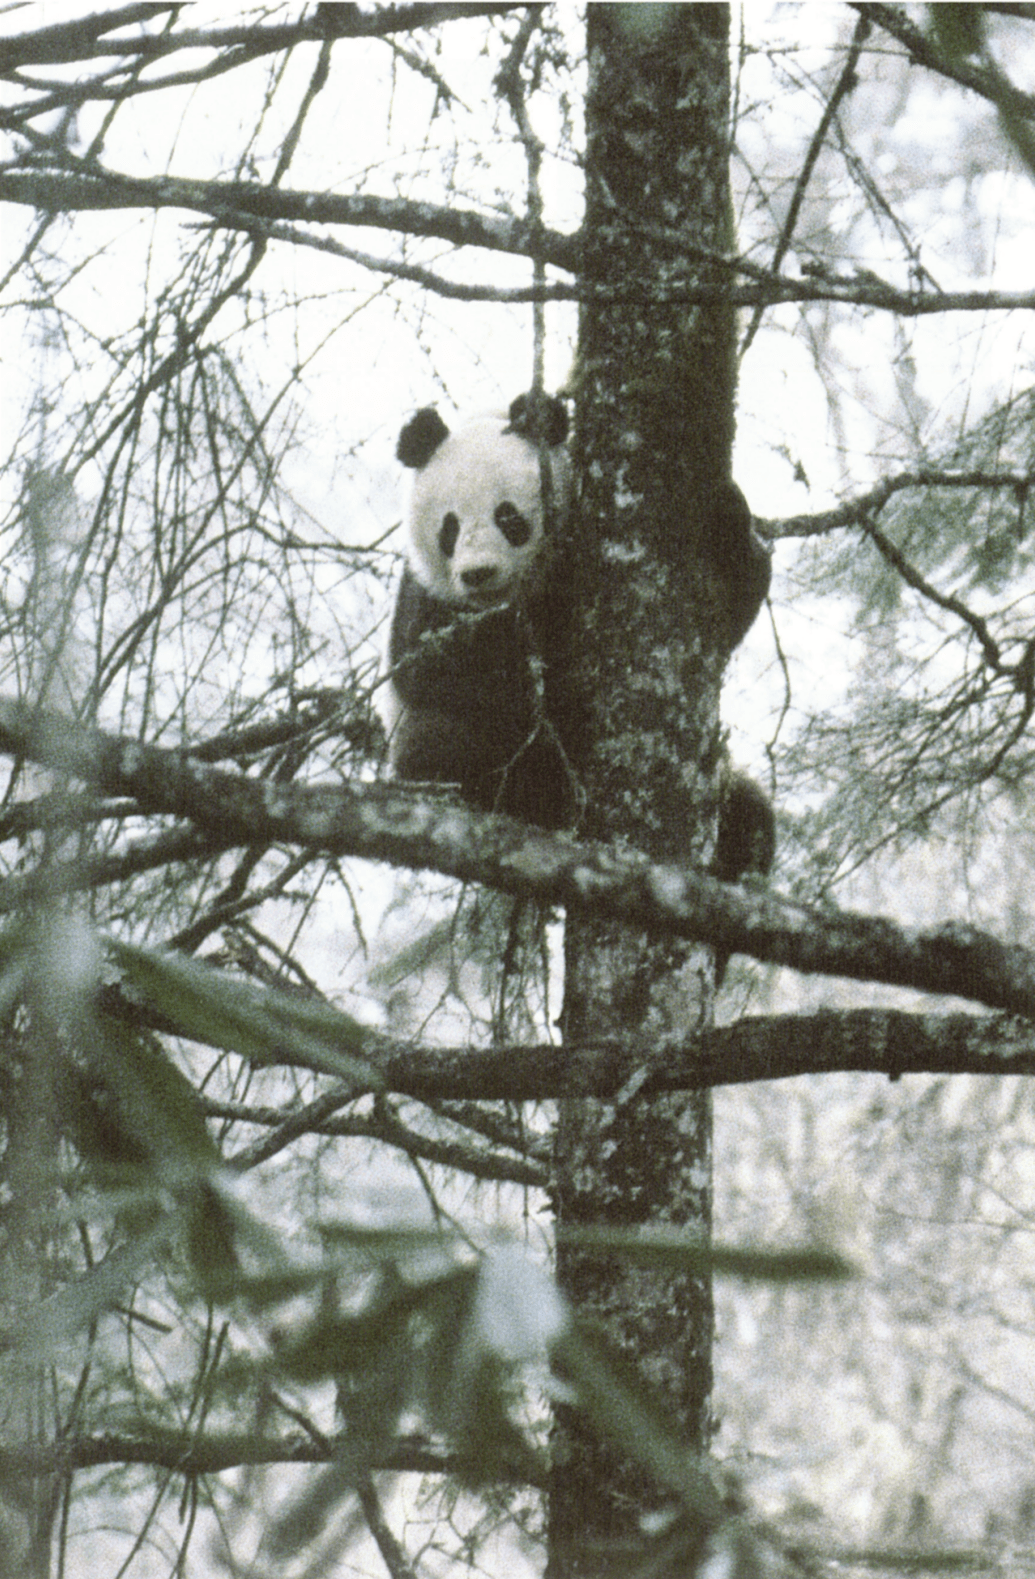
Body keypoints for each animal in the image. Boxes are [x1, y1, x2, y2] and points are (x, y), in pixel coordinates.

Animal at [383, 388, 774, 890]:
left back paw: (741, 855)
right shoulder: (429, 597)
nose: (478, 574)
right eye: (449, 528)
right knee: (443, 745)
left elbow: (731, 604)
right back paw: (543, 786)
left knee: (747, 805)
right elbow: (435, 671)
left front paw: (728, 513)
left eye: (508, 517)